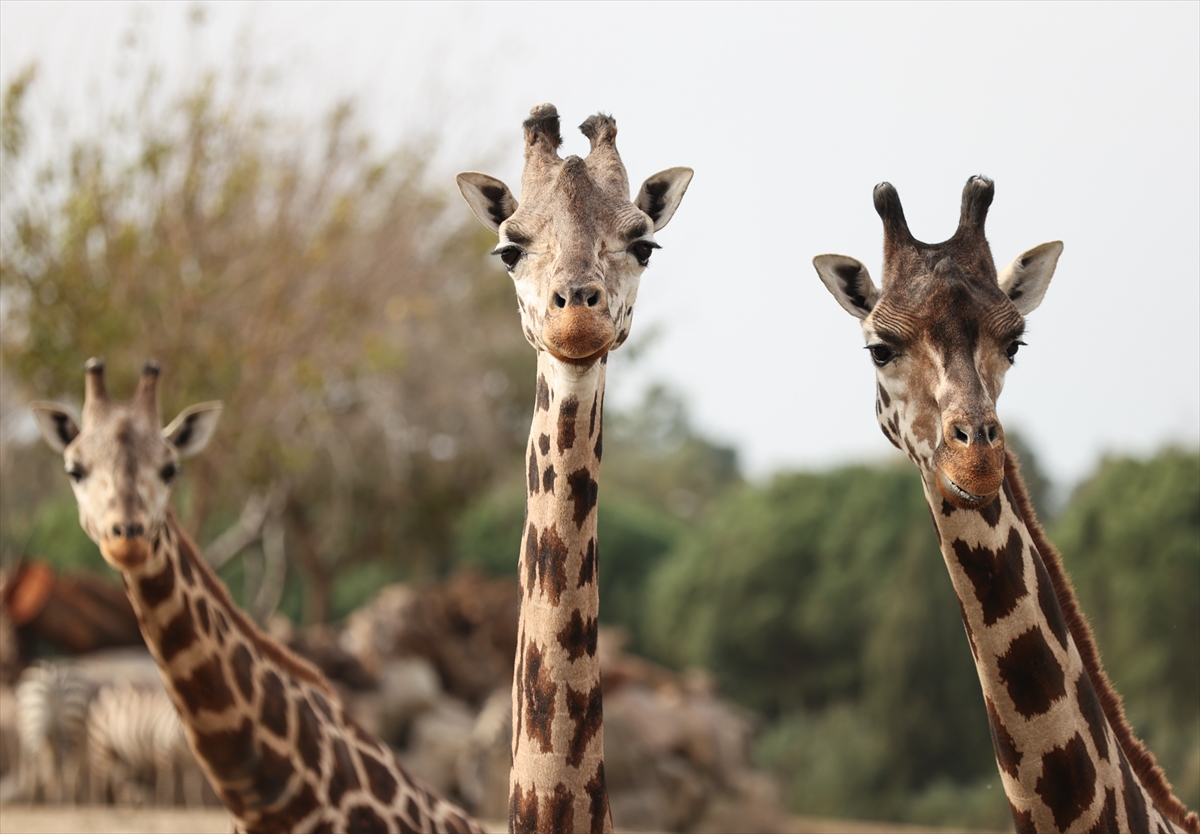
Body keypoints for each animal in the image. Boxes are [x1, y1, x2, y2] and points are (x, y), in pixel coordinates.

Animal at [14, 662, 92, 806]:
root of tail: (53, 680)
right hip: (64, 729)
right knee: (63, 765)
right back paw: (62, 800)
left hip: (34, 727)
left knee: (38, 764)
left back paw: (36, 800)